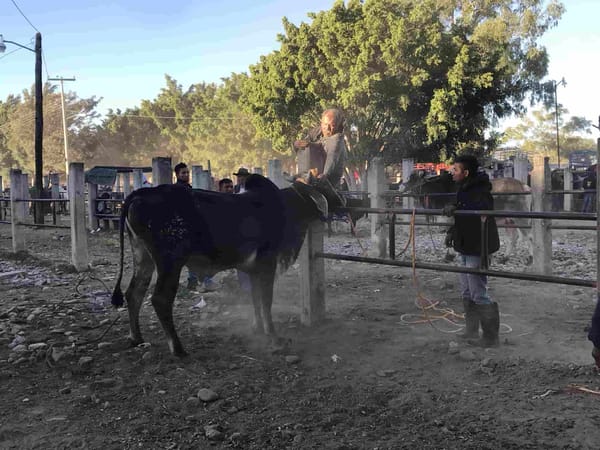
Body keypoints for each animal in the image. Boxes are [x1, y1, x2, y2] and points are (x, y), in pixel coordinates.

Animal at [112, 174, 328, 356]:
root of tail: (143, 193)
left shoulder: (253, 270)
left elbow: (256, 299)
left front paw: (257, 328)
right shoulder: (268, 265)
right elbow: (266, 302)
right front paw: (274, 338)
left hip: (143, 258)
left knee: (134, 292)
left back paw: (137, 338)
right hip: (170, 263)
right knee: (160, 299)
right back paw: (178, 349)